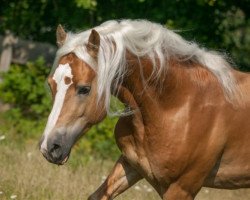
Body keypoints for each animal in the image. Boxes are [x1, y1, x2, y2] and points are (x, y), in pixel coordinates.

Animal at [38, 19, 250, 200]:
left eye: (84, 89)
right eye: (50, 84)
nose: (49, 147)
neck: (179, 104)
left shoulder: (182, 188)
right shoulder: (132, 165)